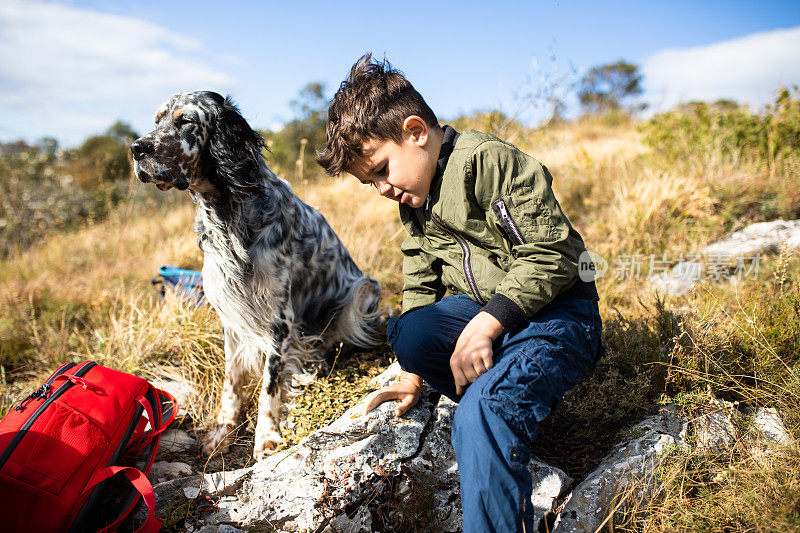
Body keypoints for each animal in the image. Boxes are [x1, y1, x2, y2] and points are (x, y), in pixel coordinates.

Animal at [130, 90, 382, 458]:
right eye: (157, 120)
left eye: (185, 120)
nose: (136, 148)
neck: (226, 214)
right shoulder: (231, 313)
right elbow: (232, 381)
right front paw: (222, 430)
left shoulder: (279, 317)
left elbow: (270, 384)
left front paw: (267, 436)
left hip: (363, 289)